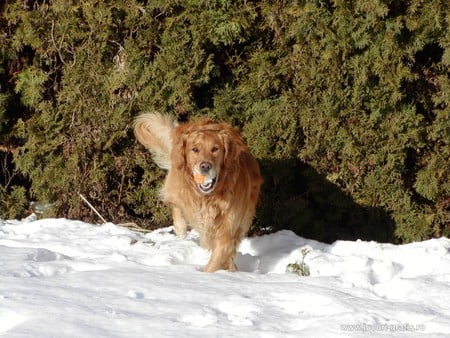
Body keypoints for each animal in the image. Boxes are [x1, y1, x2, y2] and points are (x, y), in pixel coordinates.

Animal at [134, 113, 262, 272]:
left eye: (215, 149)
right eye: (195, 149)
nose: (205, 166)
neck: (209, 198)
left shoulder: (228, 231)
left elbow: (218, 258)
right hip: (176, 183)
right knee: (175, 204)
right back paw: (181, 230)